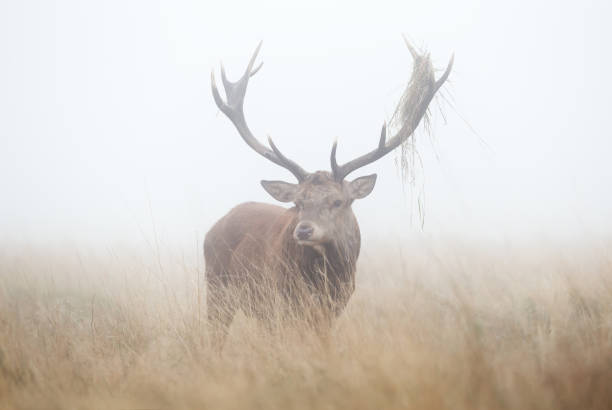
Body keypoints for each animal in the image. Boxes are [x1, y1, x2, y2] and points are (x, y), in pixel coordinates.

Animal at [204, 39, 450, 350]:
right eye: (298, 202)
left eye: (338, 201)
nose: (303, 230)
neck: (327, 279)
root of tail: (214, 227)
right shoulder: (282, 301)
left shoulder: (334, 307)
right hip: (217, 288)